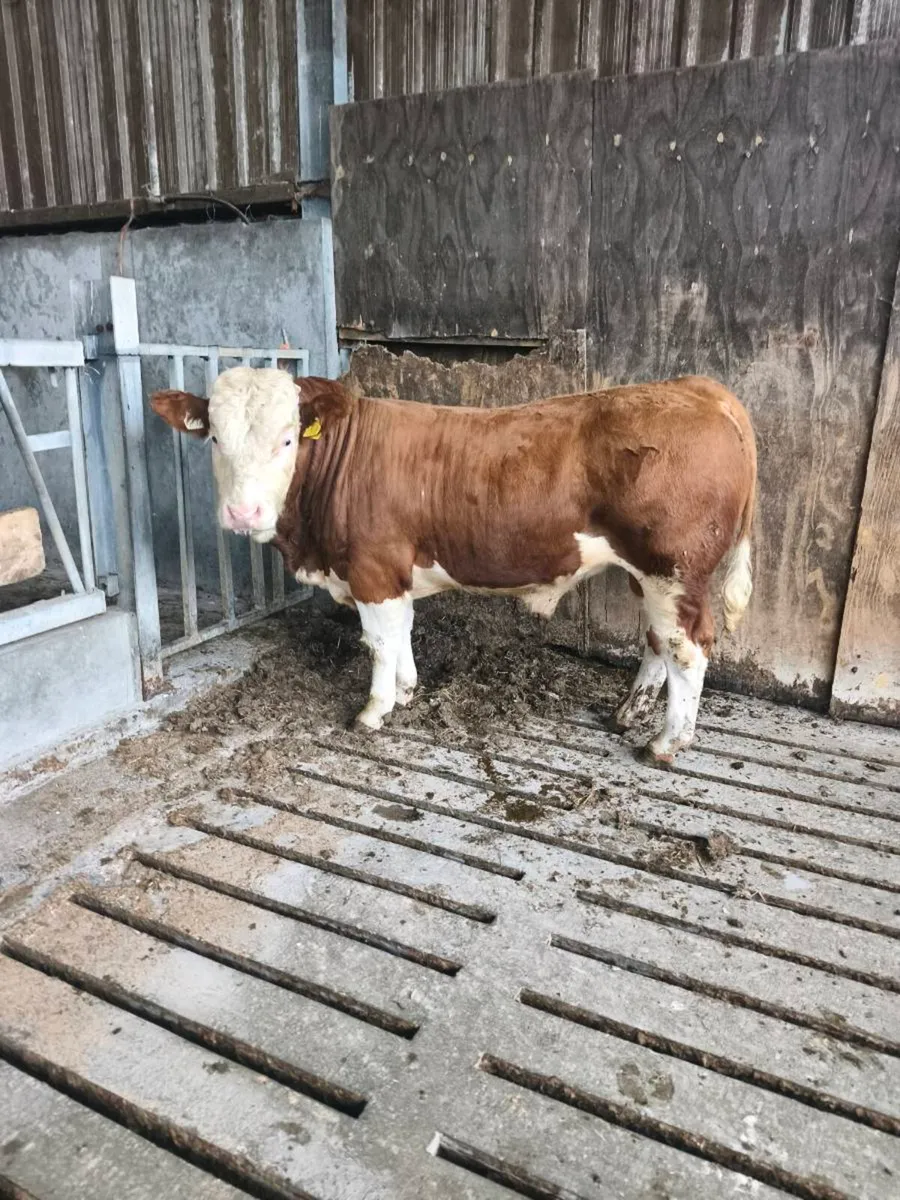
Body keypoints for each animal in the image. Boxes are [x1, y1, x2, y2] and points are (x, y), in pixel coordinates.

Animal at [151, 367, 756, 763]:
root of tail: (695, 387)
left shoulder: (371, 567)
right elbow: (402, 630)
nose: (242, 511)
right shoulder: (391, 574)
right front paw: (407, 690)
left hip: (673, 567)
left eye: (286, 439)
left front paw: (374, 710)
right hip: (647, 573)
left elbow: (379, 641)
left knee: (687, 646)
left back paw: (666, 742)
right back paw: (628, 712)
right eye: (214, 438)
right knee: (657, 640)